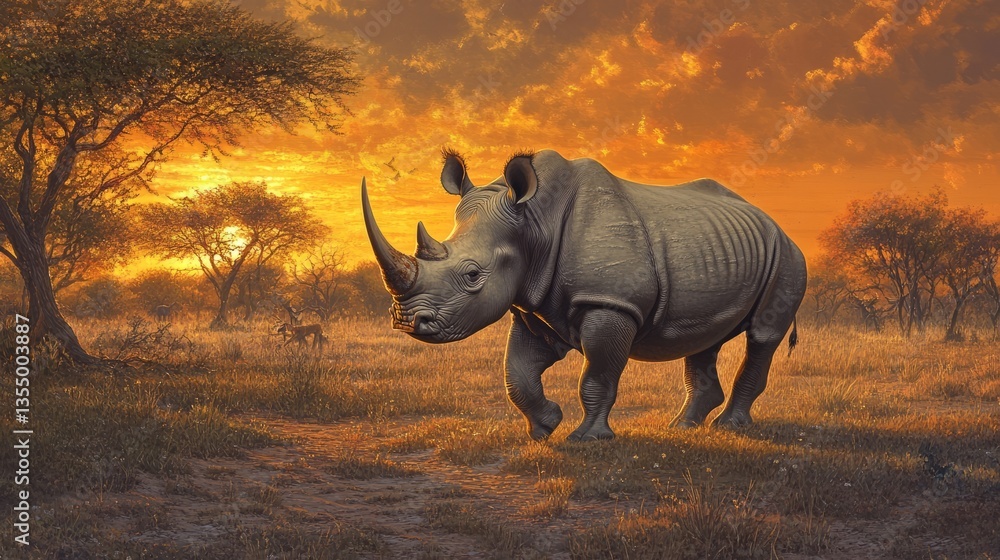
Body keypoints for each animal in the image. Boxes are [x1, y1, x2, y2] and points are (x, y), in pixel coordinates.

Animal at [361, 149, 807, 441]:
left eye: (472, 274)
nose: (407, 320)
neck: (533, 222)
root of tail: (776, 223)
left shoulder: (609, 303)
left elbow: (597, 374)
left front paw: (588, 439)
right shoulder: (534, 307)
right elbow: (516, 373)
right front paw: (544, 427)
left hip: (786, 257)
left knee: (762, 336)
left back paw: (728, 427)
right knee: (704, 338)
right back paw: (682, 427)